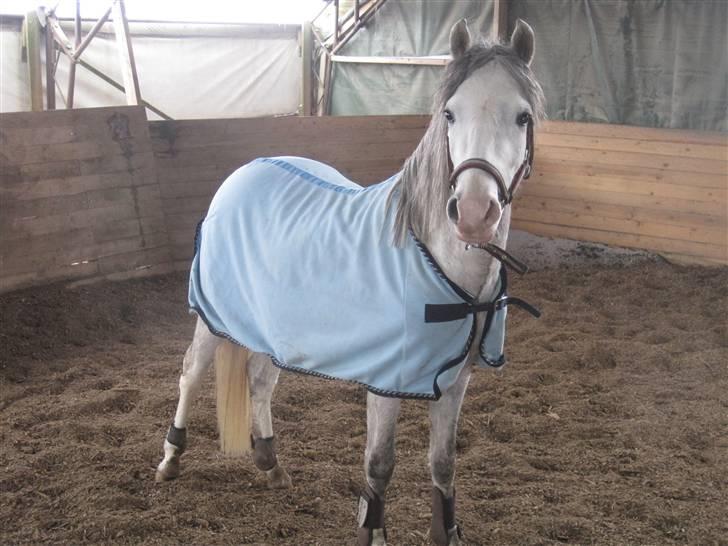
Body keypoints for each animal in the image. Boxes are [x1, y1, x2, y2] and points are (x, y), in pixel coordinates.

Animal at [155, 18, 544, 546]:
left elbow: (443, 465)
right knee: (190, 374)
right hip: (213, 317)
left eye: (522, 117)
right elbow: (379, 466)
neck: (442, 270)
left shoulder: (455, 381)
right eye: (450, 113)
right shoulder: (385, 382)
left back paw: (270, 463)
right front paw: (373, 532)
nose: (473, 213)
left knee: (259, 383)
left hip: (276, 330)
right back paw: (171, 458)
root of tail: (243, 172)